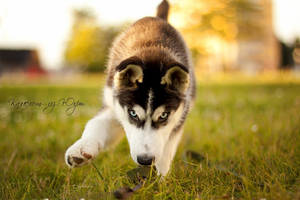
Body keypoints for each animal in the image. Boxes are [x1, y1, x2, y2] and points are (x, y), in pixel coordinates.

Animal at [65, 0, 196, 175]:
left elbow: (167, 146)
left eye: (163, 115)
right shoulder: (113, 104)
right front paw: (82, 148)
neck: (152, 48)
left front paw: (160, 176)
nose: (145, 160)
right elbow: (95, 123)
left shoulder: (180, 114)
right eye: (133, 113)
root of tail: (157, 18)